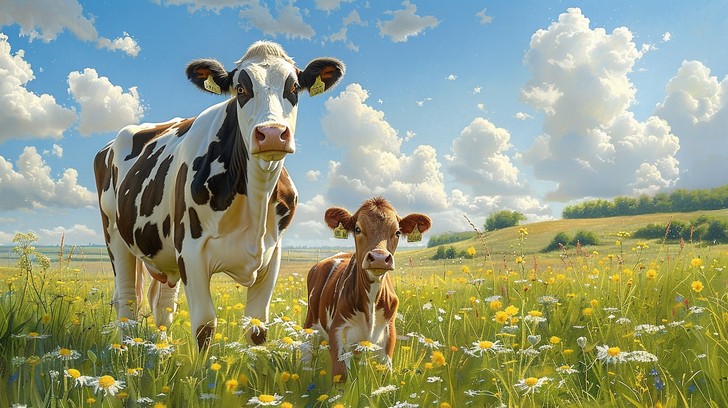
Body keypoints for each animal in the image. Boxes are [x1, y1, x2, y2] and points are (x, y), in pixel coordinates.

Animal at [93, 41, 344, 349]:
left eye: (294, 87)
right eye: (240, 89)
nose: (272, 133)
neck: (256, 200)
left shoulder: (272, 254)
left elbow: (257, 329)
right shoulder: (190, 252)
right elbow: (205, 326)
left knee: (163, 306)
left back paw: (162, 349)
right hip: (115, 233)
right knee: (127, 300)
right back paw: (126, 348)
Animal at [304, 197, 431, 380]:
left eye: (397, 232)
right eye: (358, 229)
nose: (379, 258)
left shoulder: (388, 332)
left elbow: (385, 375)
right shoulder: (337, 330)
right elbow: (340, 375)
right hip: (310, 325)